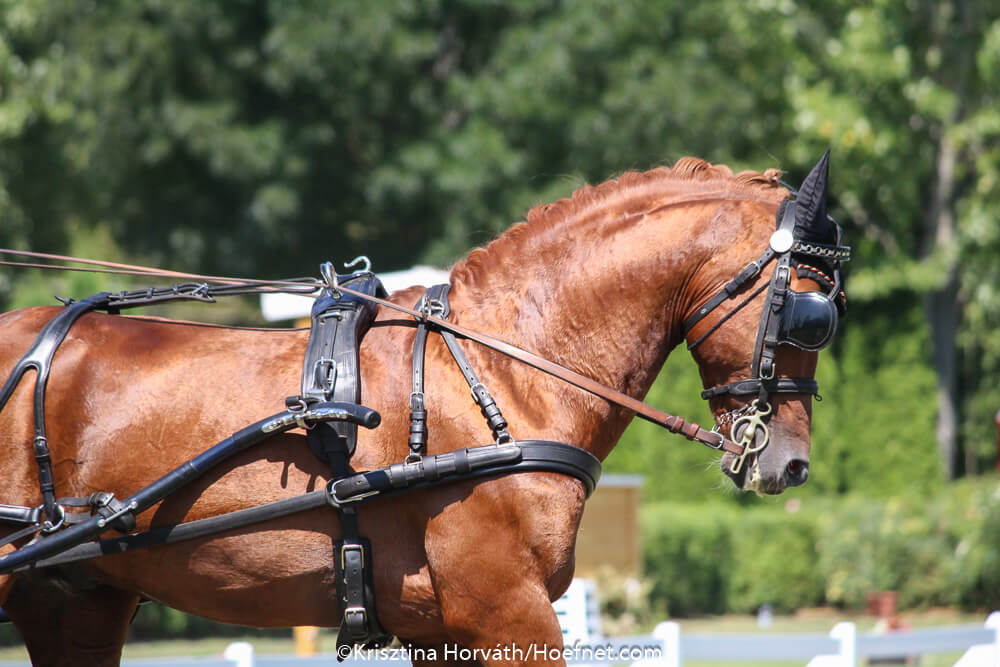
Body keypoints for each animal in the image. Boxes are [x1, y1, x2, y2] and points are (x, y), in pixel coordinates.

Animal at [0, 157, 836, 664]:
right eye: (811, 313)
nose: (792, 462)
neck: (506, 365)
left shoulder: (449, 626)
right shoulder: (506, 611)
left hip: (76, 600)